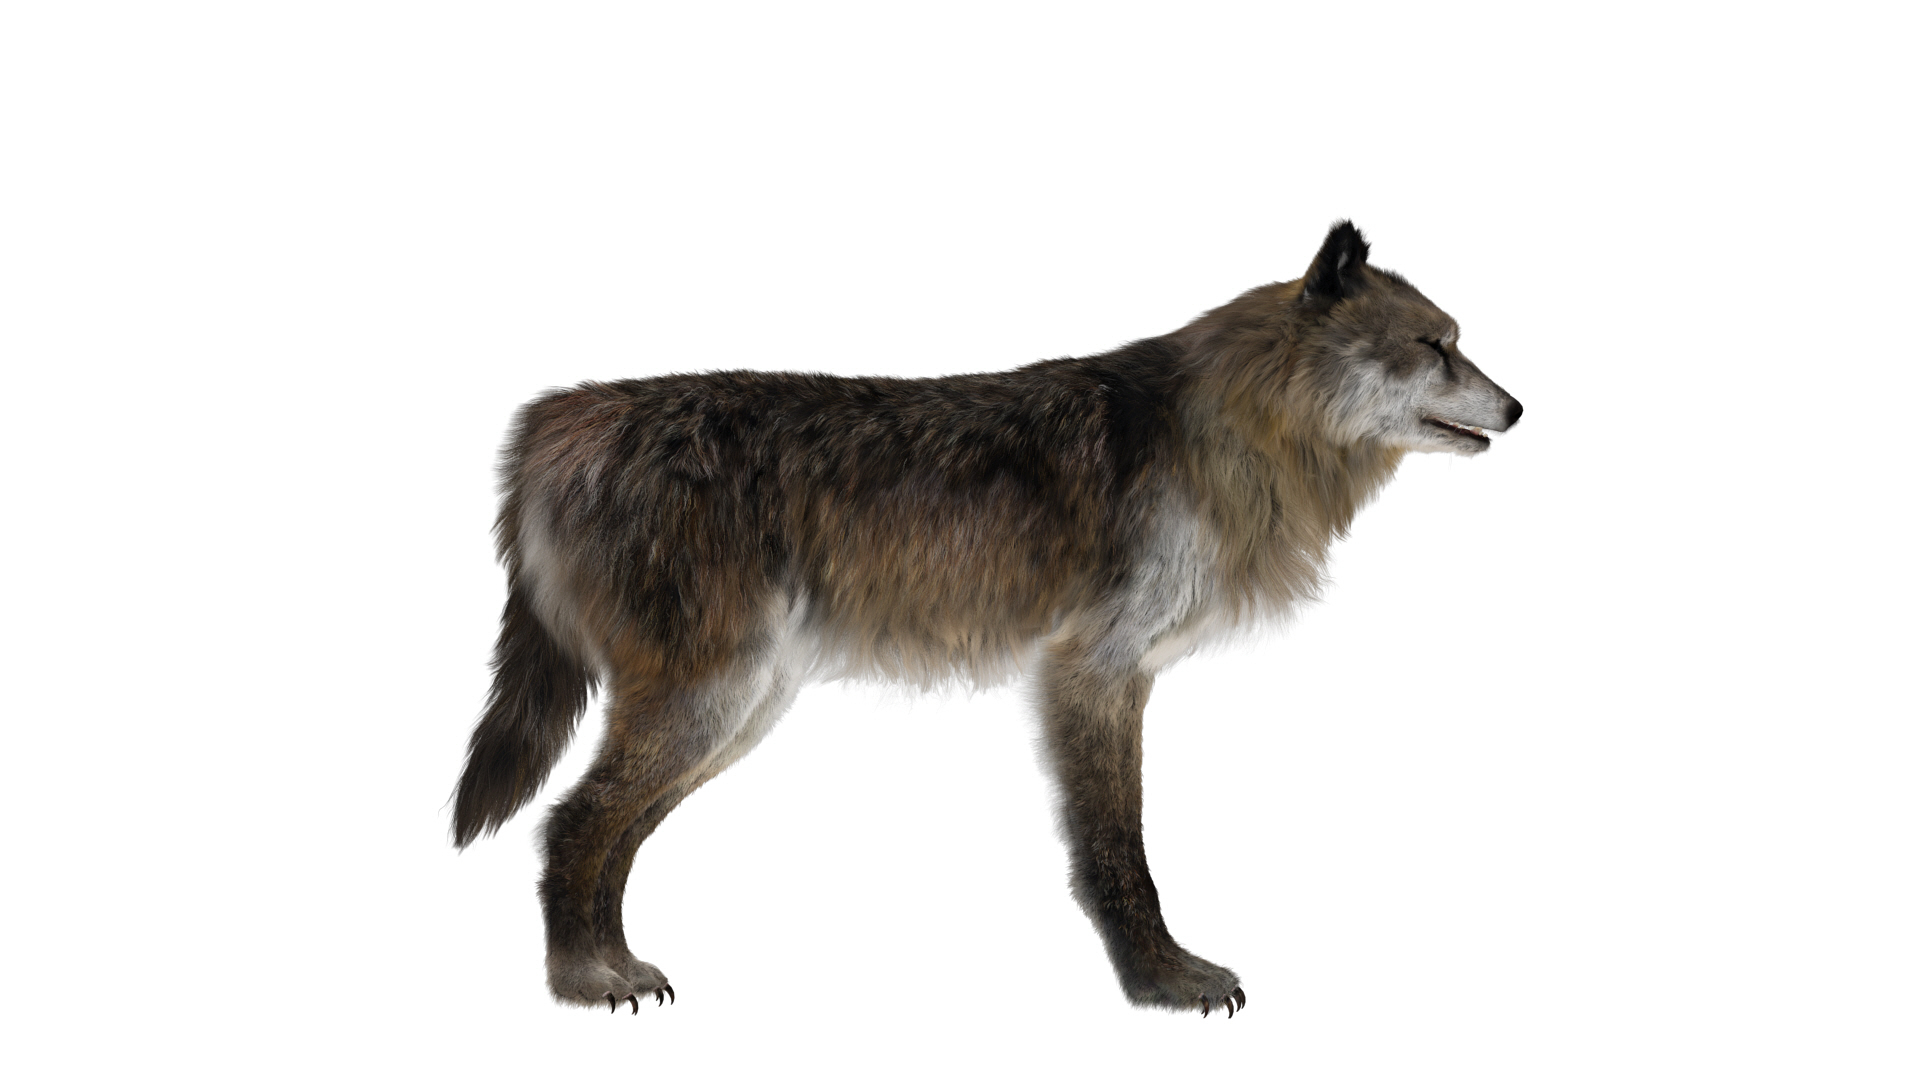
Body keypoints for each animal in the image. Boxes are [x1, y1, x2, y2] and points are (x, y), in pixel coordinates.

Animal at [451, 222, 1522, 1018]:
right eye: (1436, 345)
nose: (1517, 409)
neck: (1230, 430)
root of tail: (554, 420)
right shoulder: (1096, 669)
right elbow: (1119, 852)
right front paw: (1162, 982)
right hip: (710, 703)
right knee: (573, 822)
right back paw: (582, 983)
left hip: (738, 713)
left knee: (613, 833)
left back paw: (615, 964)